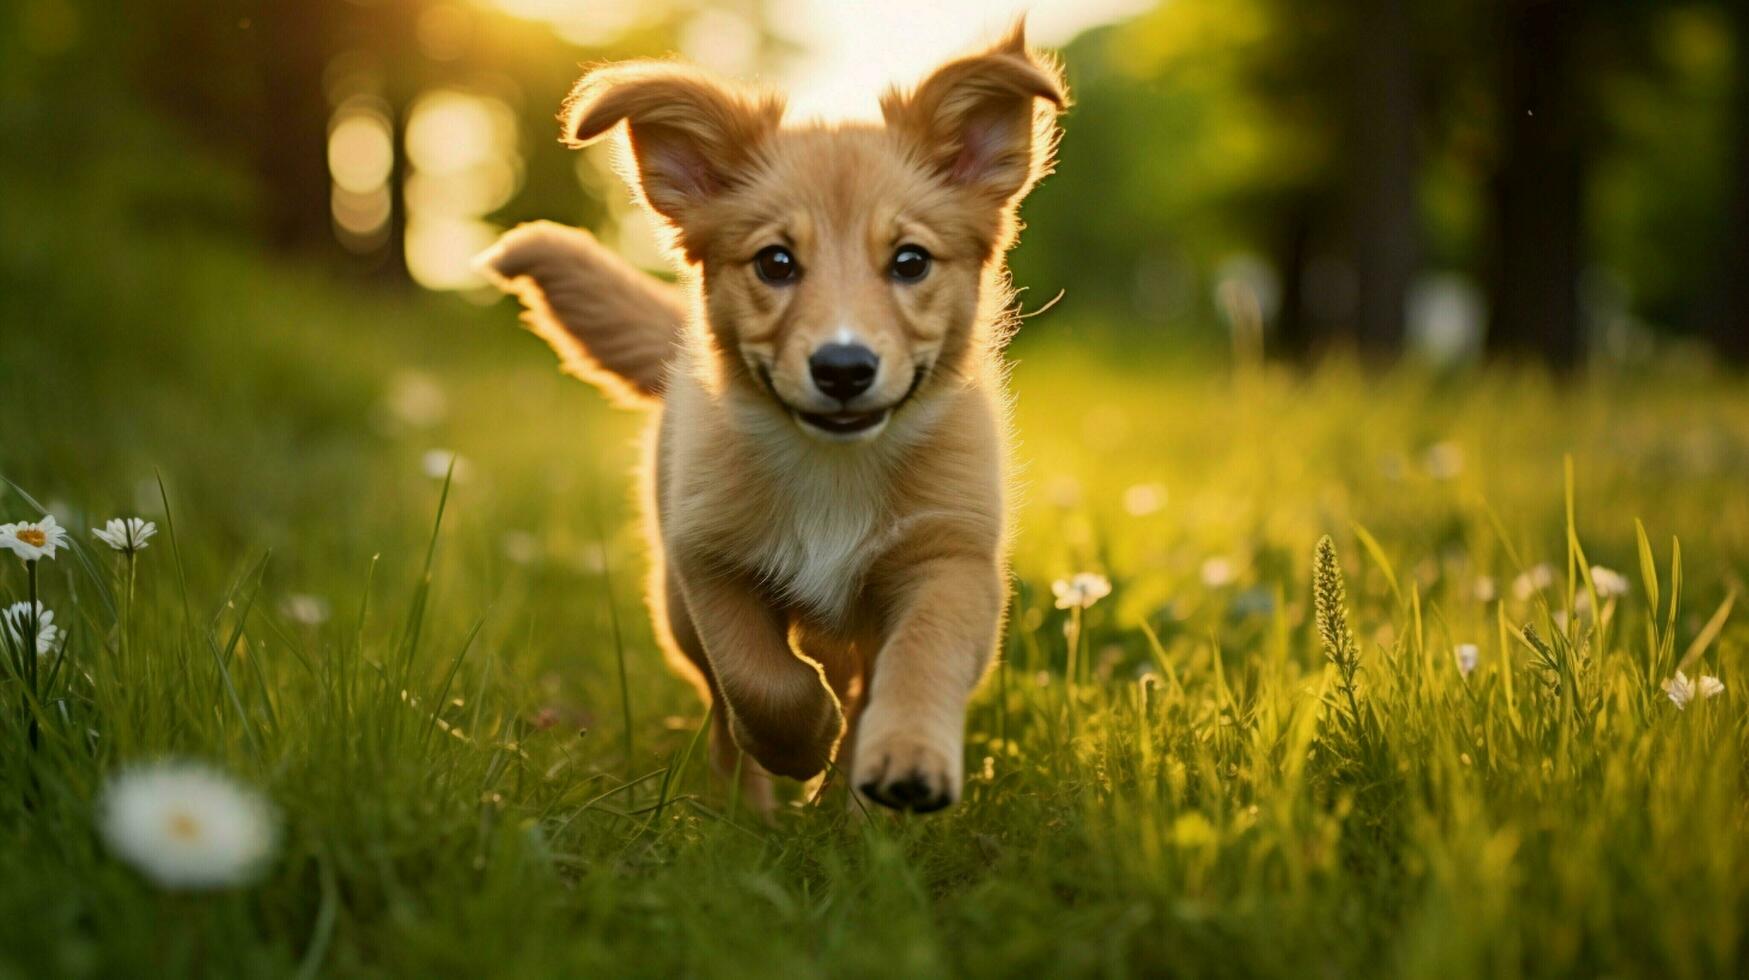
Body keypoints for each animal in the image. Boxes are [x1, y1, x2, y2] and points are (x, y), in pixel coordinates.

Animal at [479, 26, 1070, 815]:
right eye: (776, 263)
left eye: (910, 261)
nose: (844, 369)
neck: (835, 467)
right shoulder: (708, 558)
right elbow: (758, 681)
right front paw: (804, 740)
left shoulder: (950, 559)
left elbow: (921, 657)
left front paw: (904, 761)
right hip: (673, 606)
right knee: (724, 709)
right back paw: (748, 813)